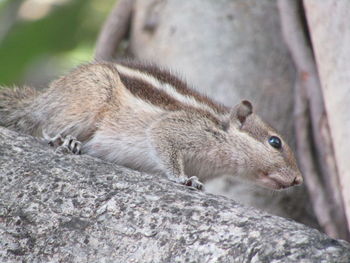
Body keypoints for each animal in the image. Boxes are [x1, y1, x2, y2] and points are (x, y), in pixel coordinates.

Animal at [0, 60, 302, 191]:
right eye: (275, 142)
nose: (298, 179)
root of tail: (44, 97)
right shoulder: (180, 128)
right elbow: (163, 141)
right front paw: (183, 179)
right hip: (87, 100)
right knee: (49, 125)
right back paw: (65, 140)